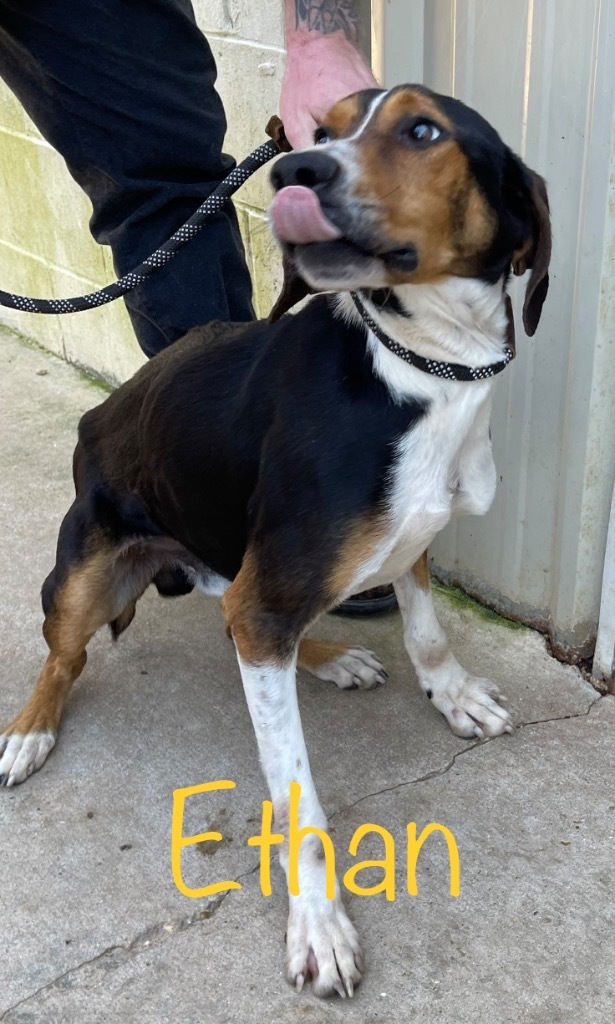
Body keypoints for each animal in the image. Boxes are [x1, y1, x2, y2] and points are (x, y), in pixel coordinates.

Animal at [1, 88, 552, 999]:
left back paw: (328, 656)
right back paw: (29, 731)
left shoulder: (405, 542)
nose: (296, 168)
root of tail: (96, 415)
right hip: (86, 571)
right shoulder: (273, 597)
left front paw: (451, 694)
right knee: (69, 654)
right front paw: (319, 925)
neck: (423, 367)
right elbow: (297, 794)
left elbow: (427, 631)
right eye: (322, 130)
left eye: (422, 130)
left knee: (230, 609)